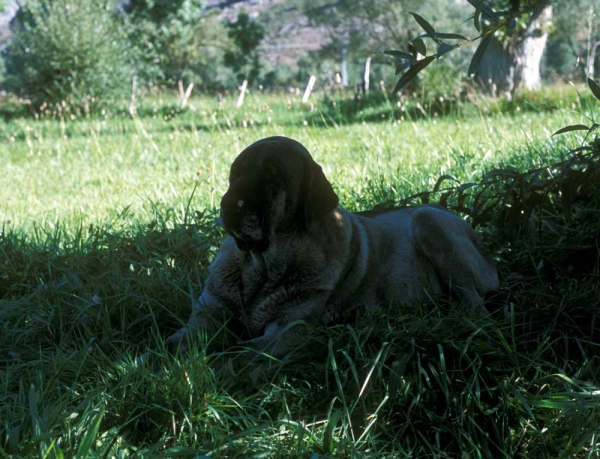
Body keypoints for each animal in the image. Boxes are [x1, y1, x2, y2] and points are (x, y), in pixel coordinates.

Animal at [166, 137, 500, 360]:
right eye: (236, 172)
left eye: (273, 174)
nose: (228, 205)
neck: (259, 269)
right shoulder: (203, 319)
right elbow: (170, 343)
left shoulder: (285, 332)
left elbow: (229, 352)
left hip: (429, 221)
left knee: (477, 306)